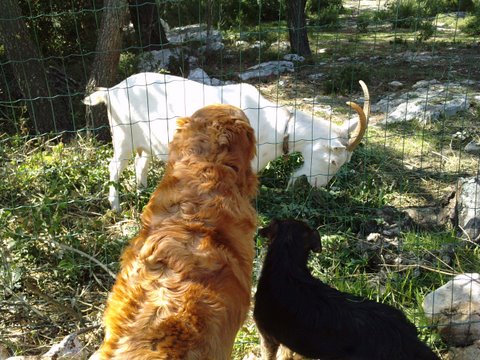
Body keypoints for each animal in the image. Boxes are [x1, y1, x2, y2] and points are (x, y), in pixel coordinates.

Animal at [82, 73, 370, 211]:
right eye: (333, 160)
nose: (317, 185)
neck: (277, 126)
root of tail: (111, 91)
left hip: (144, 140)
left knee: (140, 164)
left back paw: (143, 192)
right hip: (122, 134)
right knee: (114, 166)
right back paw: (115, 206)